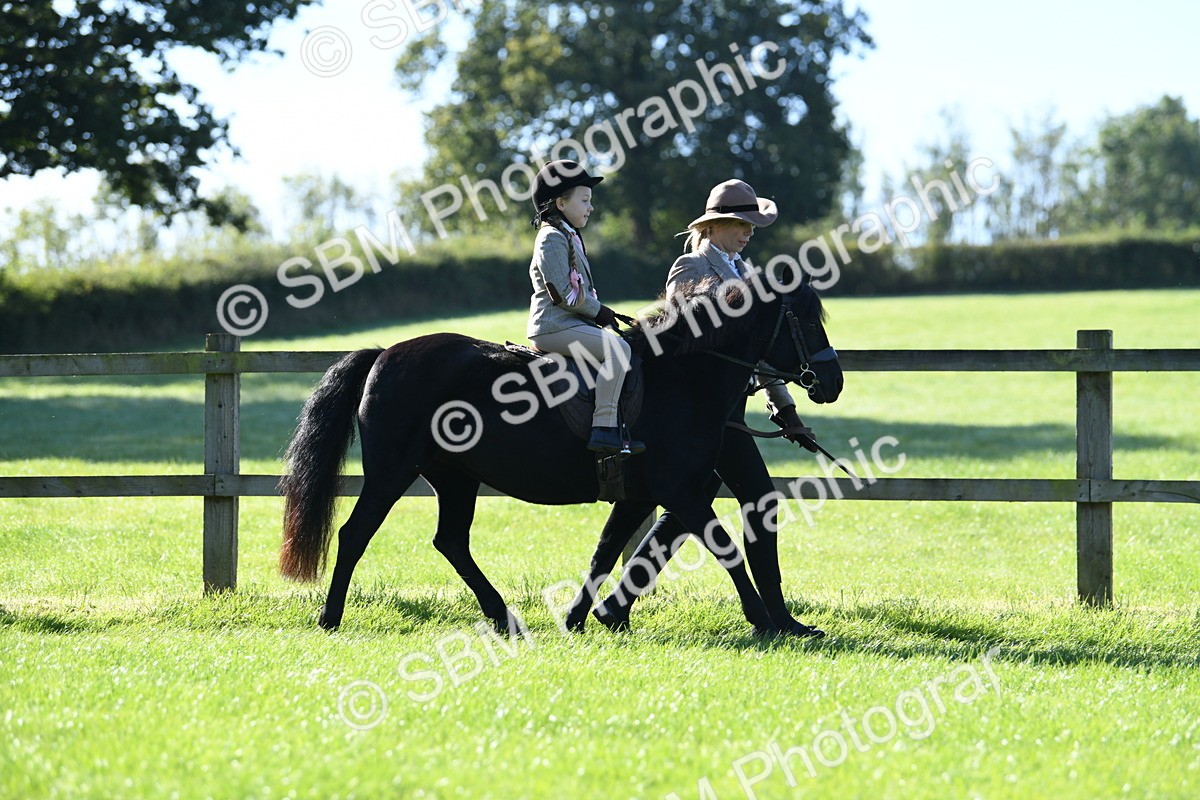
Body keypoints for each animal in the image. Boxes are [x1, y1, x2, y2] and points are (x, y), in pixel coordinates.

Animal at [278, 273, 843, 636]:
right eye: (806, 319)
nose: (832, 382)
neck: (682, 377)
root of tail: (385, 354)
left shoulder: (641, 496)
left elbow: (606, 552)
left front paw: (579, 619)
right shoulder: (680, 490)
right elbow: (724, 547)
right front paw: (763, 621)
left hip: (455, 478)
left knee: (451, 543)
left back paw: (503, 617)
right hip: (392, 473)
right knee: (355, 534)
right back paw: (329, 619)